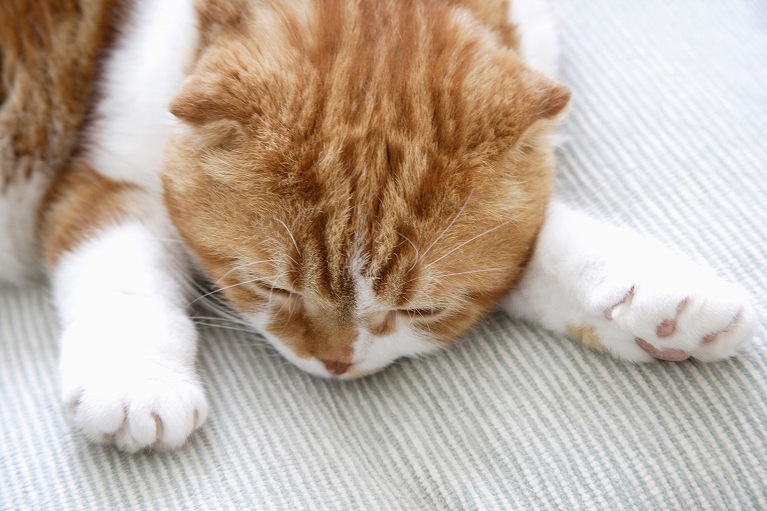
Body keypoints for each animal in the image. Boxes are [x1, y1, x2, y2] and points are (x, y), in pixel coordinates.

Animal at [0, 0, 756, 450]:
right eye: (272, 289)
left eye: (422, 308)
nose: (338, 362)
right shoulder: (108, 179)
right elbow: (124, 276)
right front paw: (136, 379)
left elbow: (541, 247)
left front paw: (658, 302)